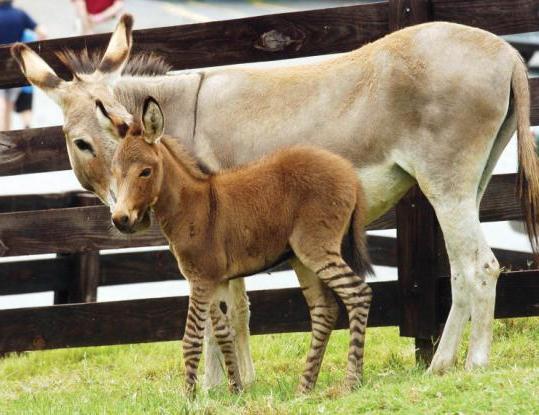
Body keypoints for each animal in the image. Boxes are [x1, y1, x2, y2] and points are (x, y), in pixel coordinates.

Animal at [104, 96, 376, 394]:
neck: (191, 207)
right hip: (301, 257)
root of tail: (348, 170)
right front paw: (236, 389)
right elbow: (223, 333)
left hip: (315, 248)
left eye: (145, 172)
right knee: (324, 310)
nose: (121, 220)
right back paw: (305, 388)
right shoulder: (212, 280)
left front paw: (189, 396)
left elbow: (191, 340)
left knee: (358, 293)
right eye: (114, 172)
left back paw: (351, 381)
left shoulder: (200, 280)